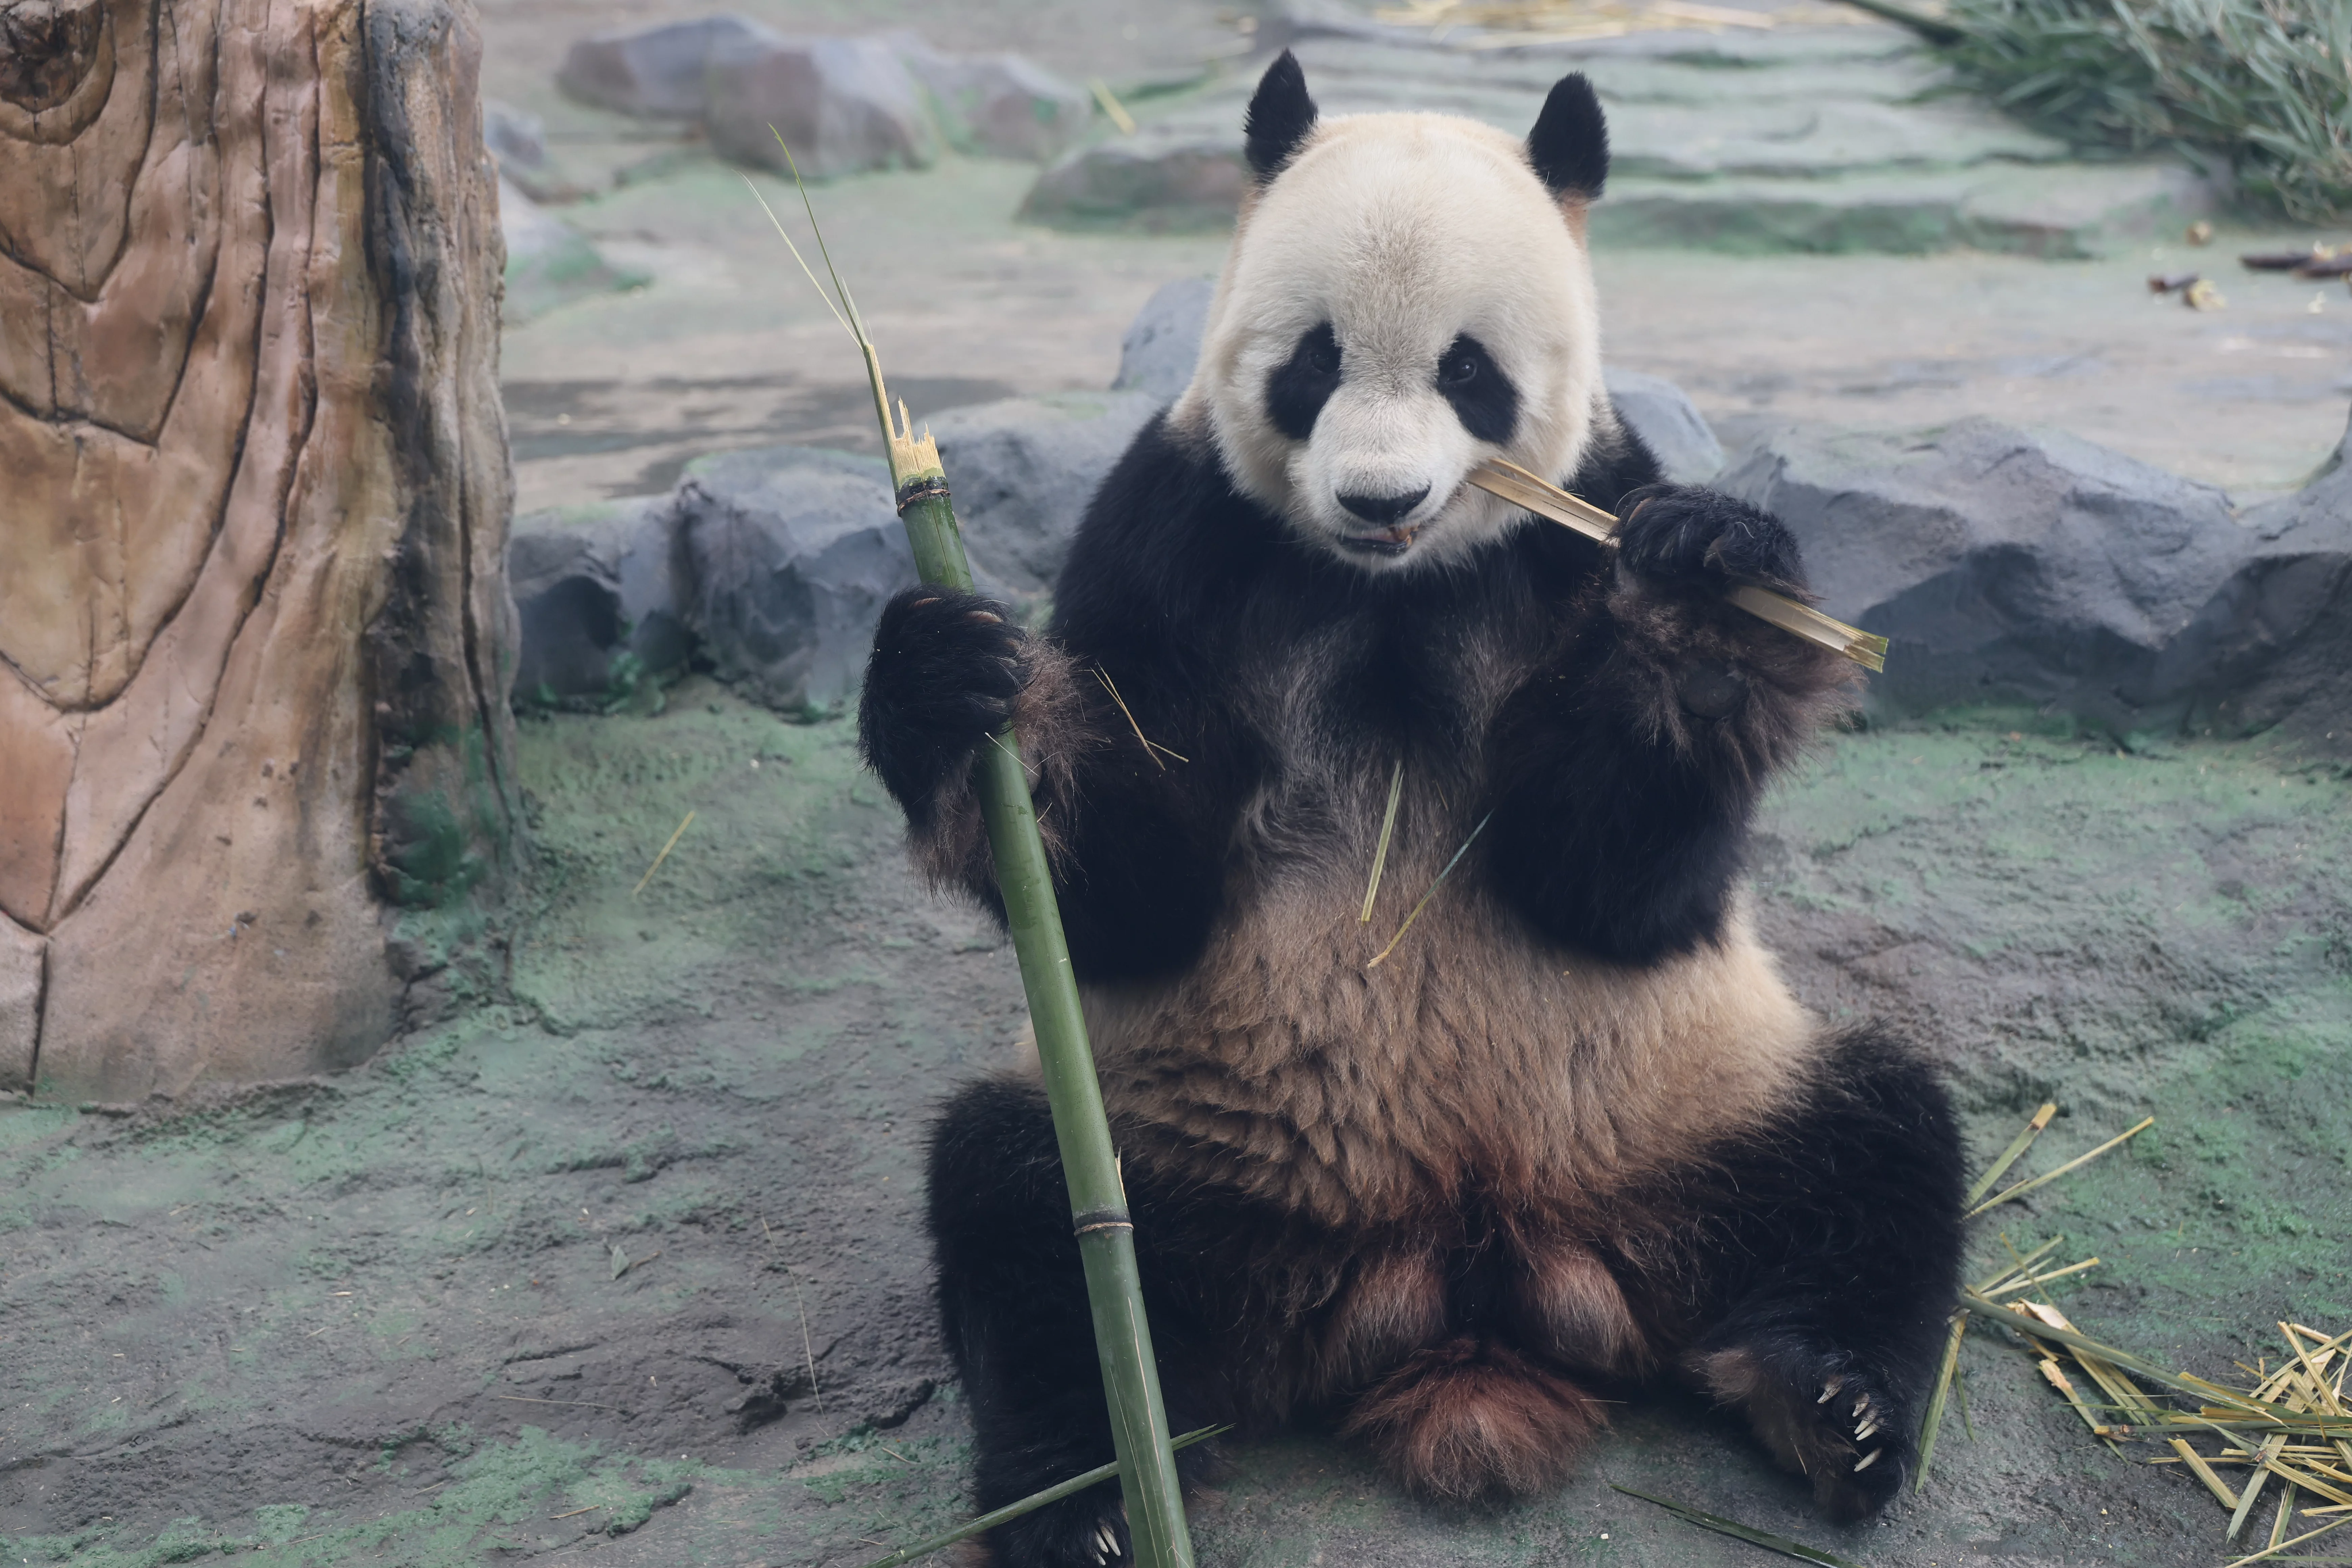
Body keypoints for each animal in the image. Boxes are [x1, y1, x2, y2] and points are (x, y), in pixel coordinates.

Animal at [859, 50, 1966, 1568]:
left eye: (1470, 372)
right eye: (1314, 361)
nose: (1379, 496)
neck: (1387, 588)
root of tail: (1459, 1279)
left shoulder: (1583, 522)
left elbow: (1618, 887)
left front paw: (1706, 611)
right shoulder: (1173, 538)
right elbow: (1134, 899)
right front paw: (955, 682)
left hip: (1696, 1100)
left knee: (1885, 1141)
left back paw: (1828, 1404)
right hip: (1167, 1146)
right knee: (1027, 1223)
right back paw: (1081, 1496)